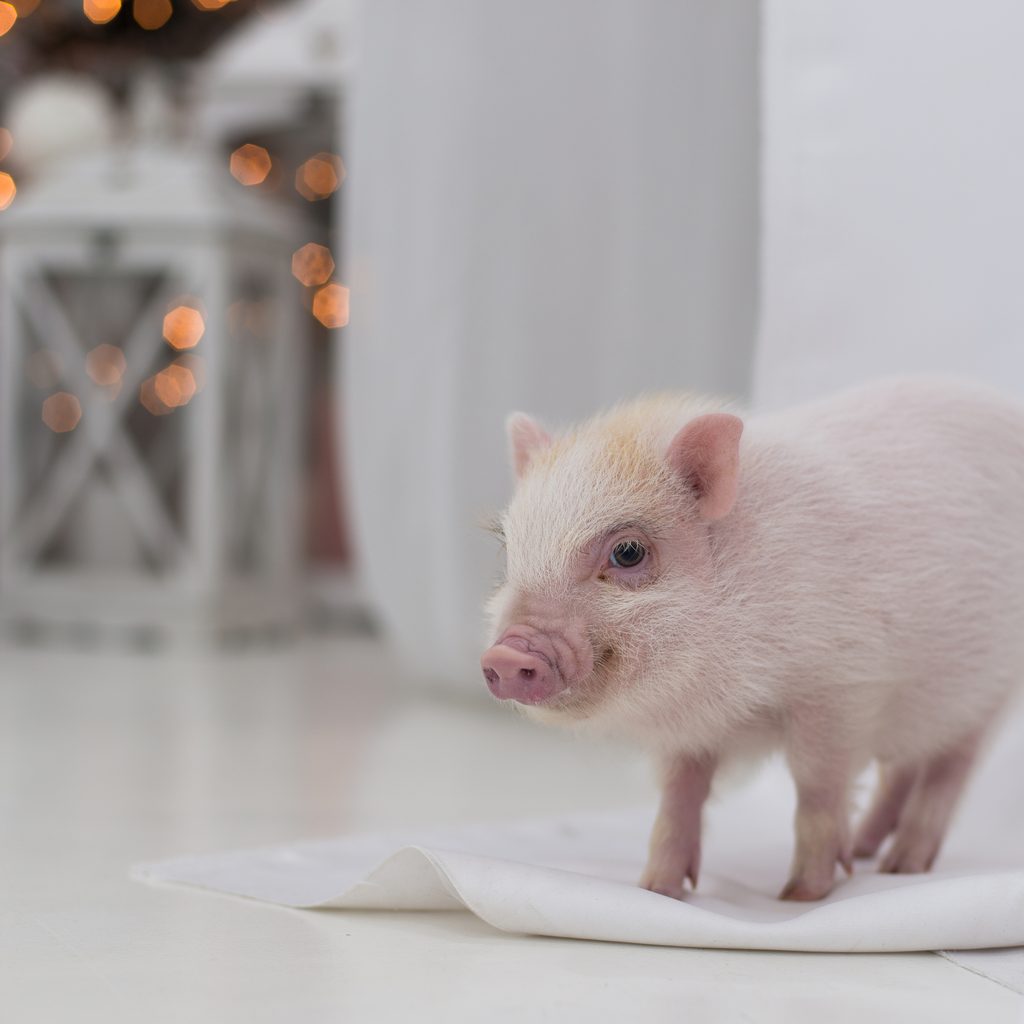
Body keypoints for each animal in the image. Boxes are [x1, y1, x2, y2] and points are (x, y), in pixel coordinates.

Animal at [481, 378, 1024, 901]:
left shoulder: (841, 686)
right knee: (902, 769)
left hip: (988, 692)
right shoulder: (691, 726)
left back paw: (901, 867)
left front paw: (801, 895)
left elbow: (817, 788)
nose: (506, 653)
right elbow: (680, 795)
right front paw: (656, 890)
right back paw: (869, 852)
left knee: (948, 772)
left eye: (629, 552)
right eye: (510, 547)